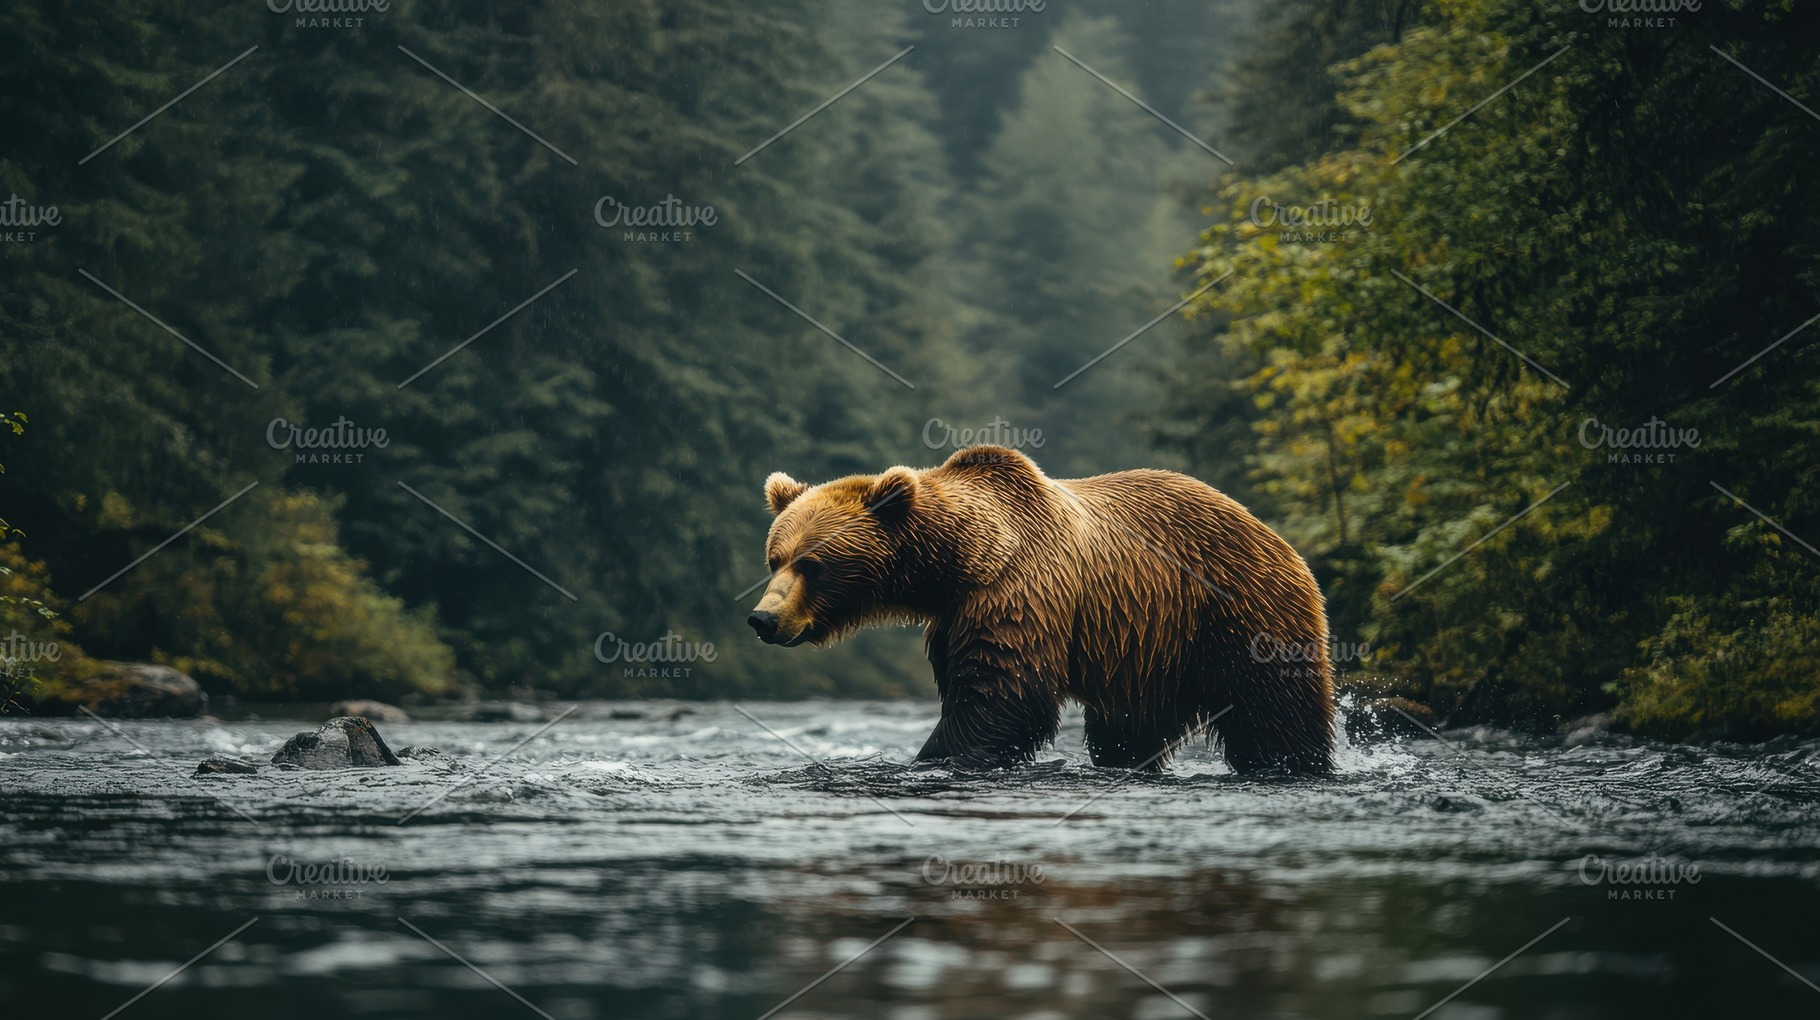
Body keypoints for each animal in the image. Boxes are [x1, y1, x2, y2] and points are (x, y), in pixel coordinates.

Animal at [747, 446, 1335, 775]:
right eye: (775, 559)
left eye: (812, 563)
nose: (763, 620)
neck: (955, 565)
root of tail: (1274, 534)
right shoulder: (953, 615)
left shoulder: (1016, 592)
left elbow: (1002, 694)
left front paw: (936, 758)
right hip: (1147, 649)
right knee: (1127, 730)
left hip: (1238, 614)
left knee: (1276, 711)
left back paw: (1294, 765)